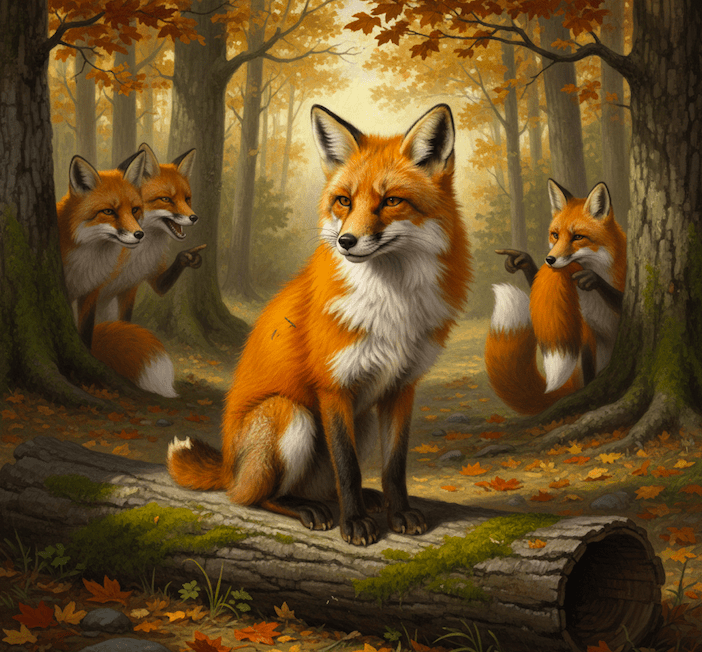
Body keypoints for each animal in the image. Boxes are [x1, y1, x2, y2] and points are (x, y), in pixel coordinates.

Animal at [167, 104, 471, 545]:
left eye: (391, 201)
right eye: (344, 201)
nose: (346, 241)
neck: (391, 305)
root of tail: (227, 468)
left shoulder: (401, 387)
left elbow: (394, 466)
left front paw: (400, 512)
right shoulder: (333, 386)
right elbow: (348, 467)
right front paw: (354, 523)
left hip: (361, 421)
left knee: (319, 486)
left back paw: (361, 499)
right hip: (290, 414)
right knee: (254, 497)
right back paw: (305, 508)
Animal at [484, 179, 626, 415]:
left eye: (578, 237)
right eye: (555, 235)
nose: (549, 260)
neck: (595, 304)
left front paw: (593, 279)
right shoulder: (588, 335)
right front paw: (524, 261)